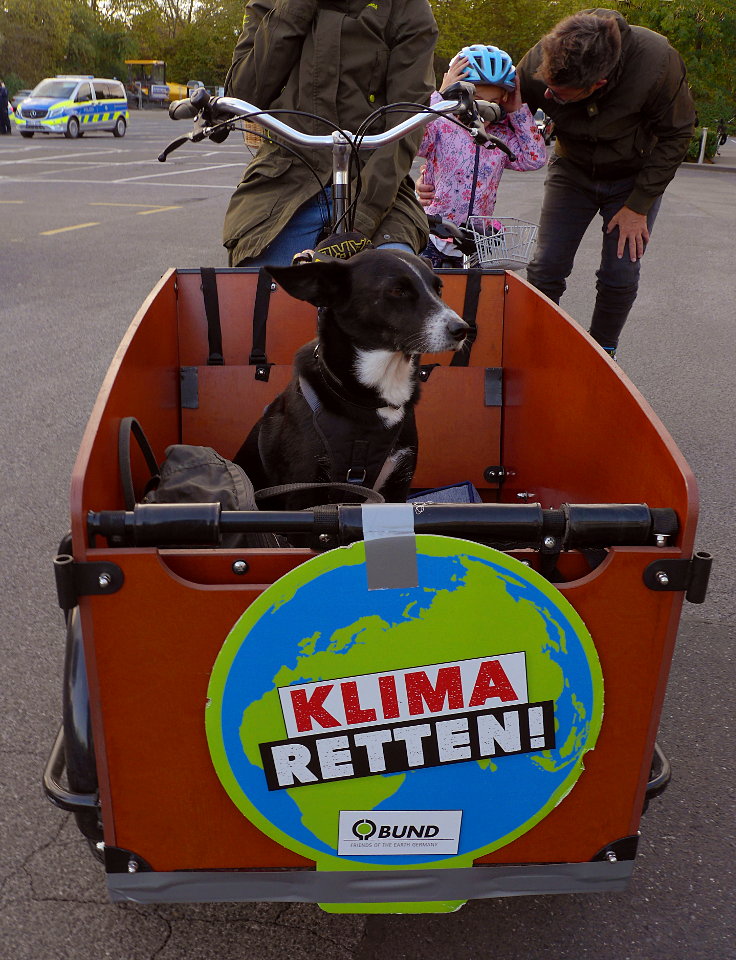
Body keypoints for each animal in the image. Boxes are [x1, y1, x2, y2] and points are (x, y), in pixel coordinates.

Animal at [233, 249, 468, 510]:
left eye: (439, 289)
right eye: (398, 290)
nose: (463, 329)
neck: (369, 400)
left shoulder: (397, 486)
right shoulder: (302, 493)